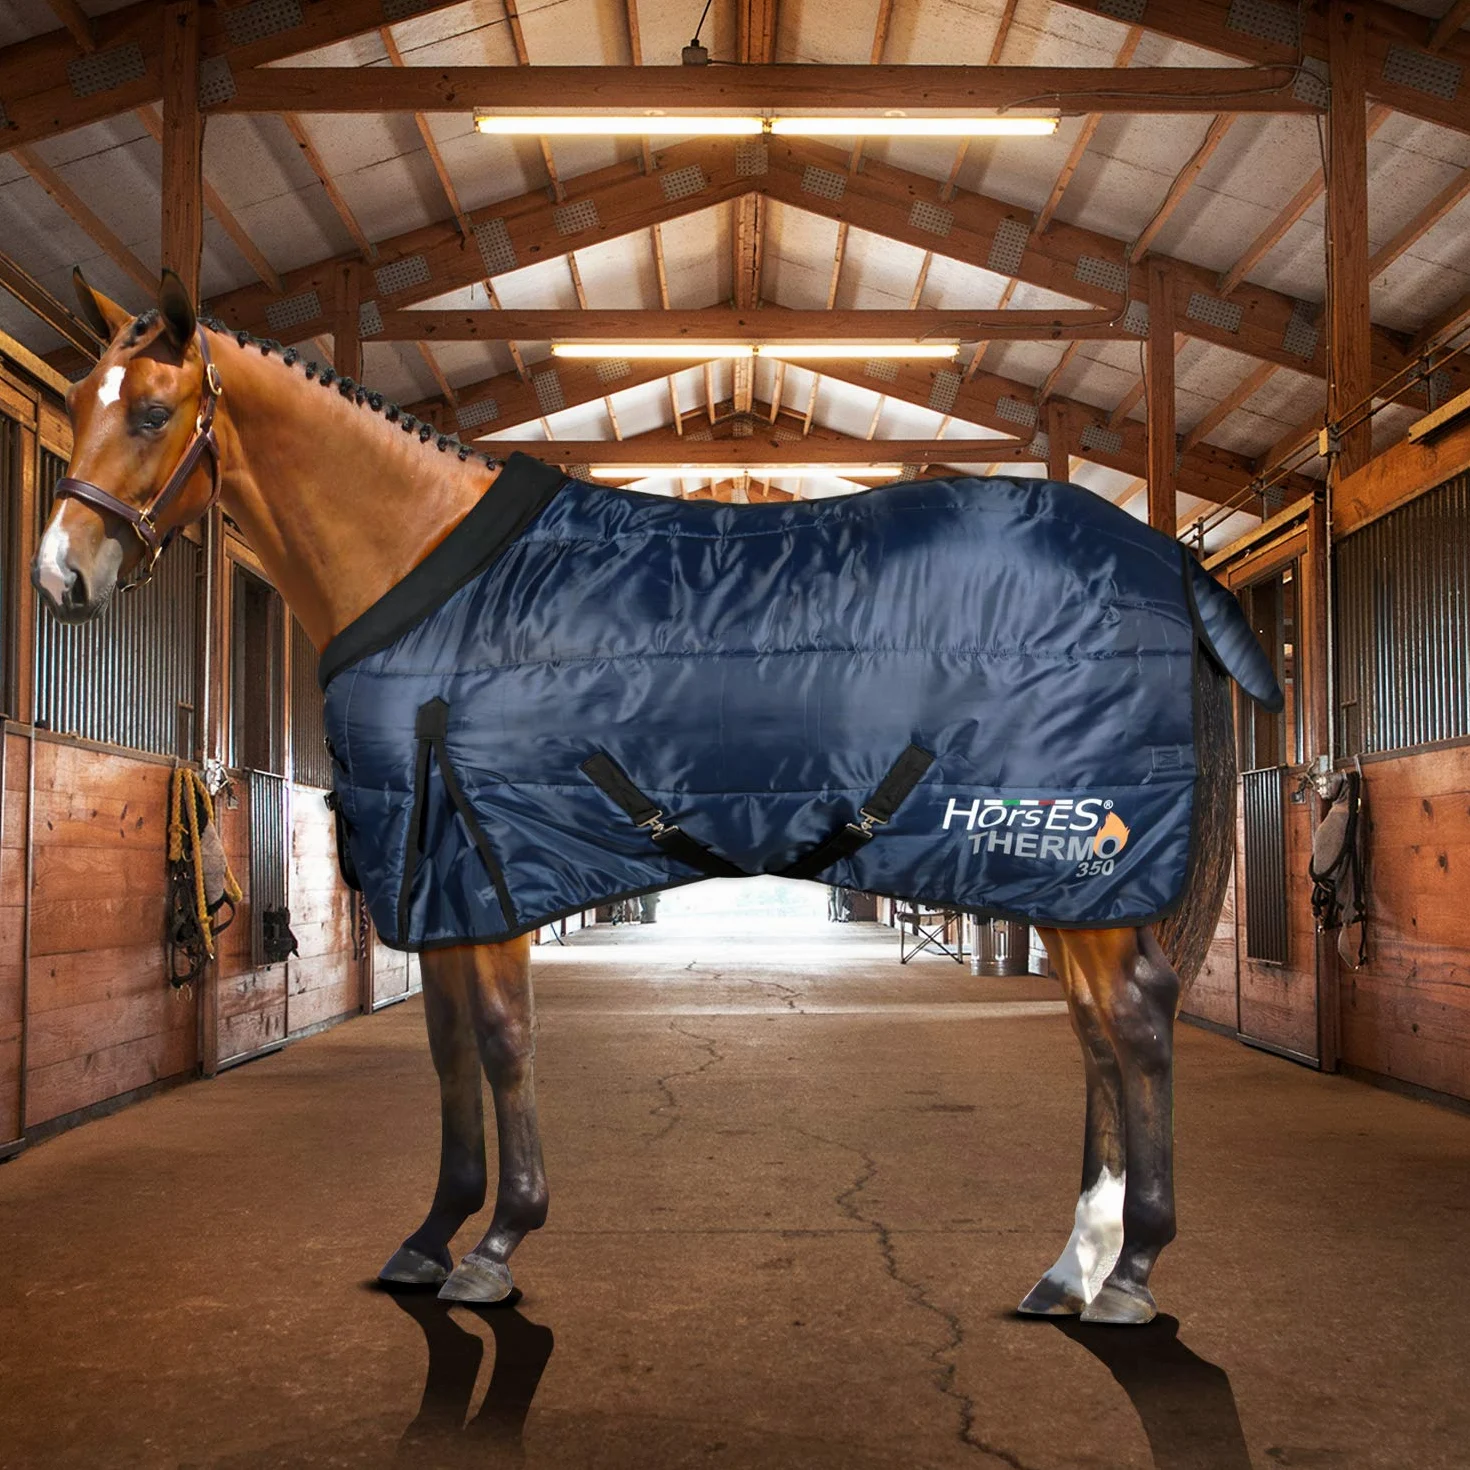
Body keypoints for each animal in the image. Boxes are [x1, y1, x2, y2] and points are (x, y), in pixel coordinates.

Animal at [34, 269, 1262, 1327]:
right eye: (82, 402)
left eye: (153, 413)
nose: (60, 578)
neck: (435, 574)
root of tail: (1165, 559)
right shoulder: (439, 882)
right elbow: (447, 1048)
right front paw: (431, 1237)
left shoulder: (491, 863)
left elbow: (502, 1040)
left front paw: (496, 1246)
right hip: (1067, 880)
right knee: (1098, 1030)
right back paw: (1073, 1267)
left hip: (1073, 859)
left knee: (1134, 1021)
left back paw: (1129, 1274)